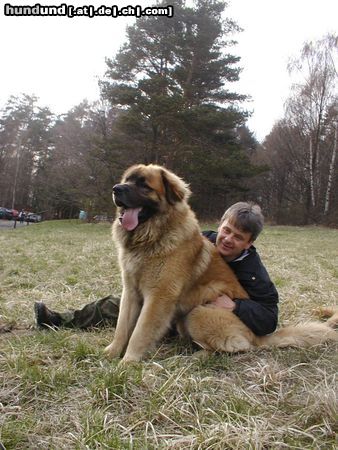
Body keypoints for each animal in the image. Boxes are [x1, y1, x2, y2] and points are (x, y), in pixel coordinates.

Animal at [104, 164, 336, 362]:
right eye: (127, 180)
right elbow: (122, 326)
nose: (116, 189)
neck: (151, 238)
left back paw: (196, 356)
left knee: (234, 347)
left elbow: (140, 332)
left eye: (144, 185)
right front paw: (112, 353)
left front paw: (128, 362)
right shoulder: (131, 292)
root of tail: (257, 336)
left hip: (198, 312)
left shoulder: (159, 297)